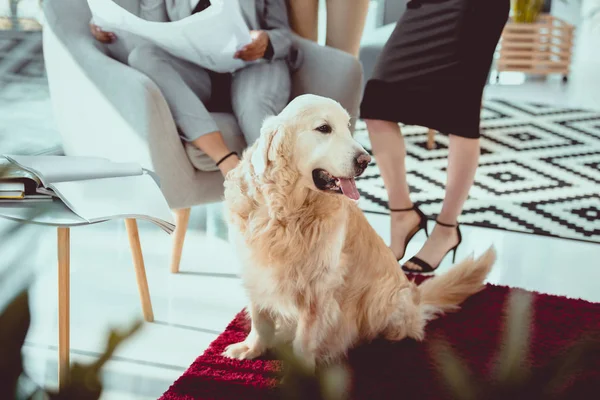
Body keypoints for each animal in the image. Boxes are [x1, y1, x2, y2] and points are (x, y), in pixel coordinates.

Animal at [223, 94, 494, 368]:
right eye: (324, 128)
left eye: (347, 126)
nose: (365, 161)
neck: (287, 211)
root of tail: (415, 297)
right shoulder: (256, 270)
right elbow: (260, 319)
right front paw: (252, 348)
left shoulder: (318, 287)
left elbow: (306, 337)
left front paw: (301, 370)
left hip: (383, 299)